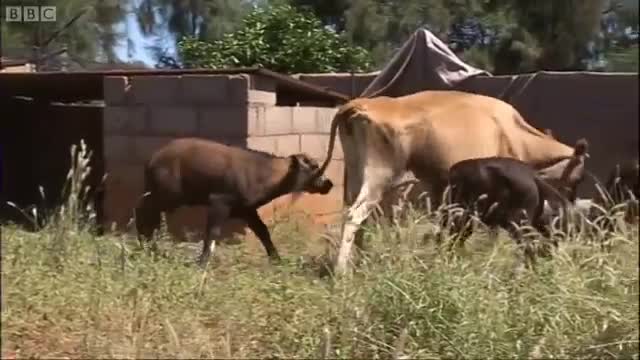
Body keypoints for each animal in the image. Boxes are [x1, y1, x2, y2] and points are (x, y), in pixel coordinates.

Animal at [136, 137, 336, 264]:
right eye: (314, 166)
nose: (329, 184)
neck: (262, 173)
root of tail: (151, 159)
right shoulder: (219, 202)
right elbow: (212, 233)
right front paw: (203, 262)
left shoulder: (246, 210)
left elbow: (263, 232)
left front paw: (277, 259)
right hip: (166, 196)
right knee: (143, 212)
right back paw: (144, 244)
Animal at [312, 88, 592, 274]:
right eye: (578, 176)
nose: (568, 201)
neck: (513, 132)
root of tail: (360, 104)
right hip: (379, 176)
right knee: (356, 215)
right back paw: (342, 271)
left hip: (355, 174)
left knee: (355, 215)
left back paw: (361, 262)